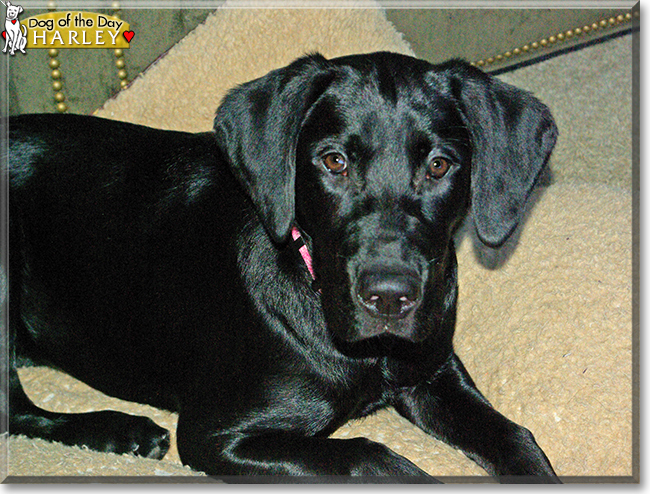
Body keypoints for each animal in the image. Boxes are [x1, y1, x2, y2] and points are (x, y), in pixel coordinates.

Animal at [3, 52, 556, 480]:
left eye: (439, 165)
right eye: (334, 162)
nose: (388, 298)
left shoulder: (432, 370)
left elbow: (516, 438)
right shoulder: (215, 434)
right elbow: (371, 457)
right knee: (16, 411)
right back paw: (118, 429)